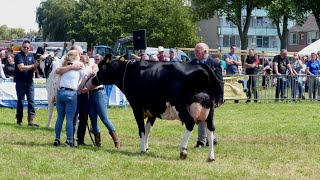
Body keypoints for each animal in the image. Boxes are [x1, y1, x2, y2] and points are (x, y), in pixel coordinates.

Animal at [87, 55, 222, 162]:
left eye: (102, 67)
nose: (92, 79)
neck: (128, 71)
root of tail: (203, 67)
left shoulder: (137, 106)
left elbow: (141, 128)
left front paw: (142, 148)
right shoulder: (152, 110)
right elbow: (148, 129)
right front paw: (146, 147)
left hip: (181, 105)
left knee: (190, 123)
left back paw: (182, 150)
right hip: (210, 108)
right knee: (210, 128)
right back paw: (211, 157)